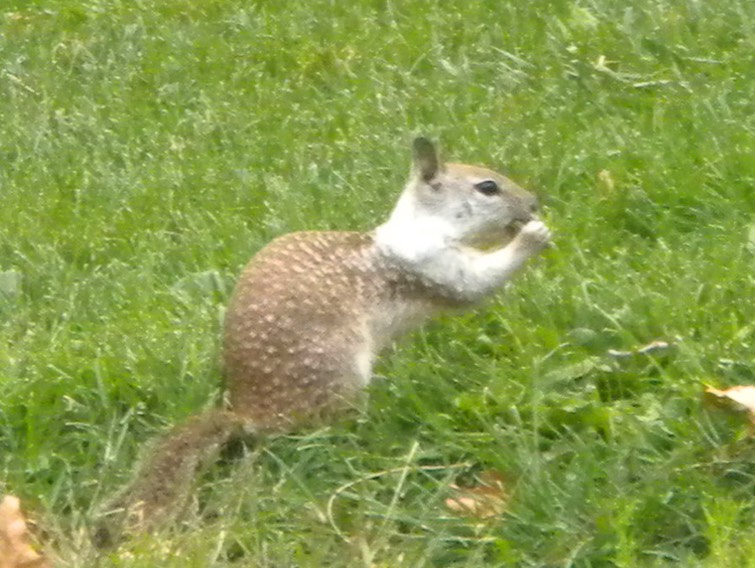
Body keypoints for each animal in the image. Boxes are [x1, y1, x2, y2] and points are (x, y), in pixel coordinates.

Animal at [95, 137, 551, 544]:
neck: (420, 227)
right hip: (338, 376)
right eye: (487, 187)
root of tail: (250, 412)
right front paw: (533, 236)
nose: (533, 204)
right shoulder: (434, 266)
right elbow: (476, 284)